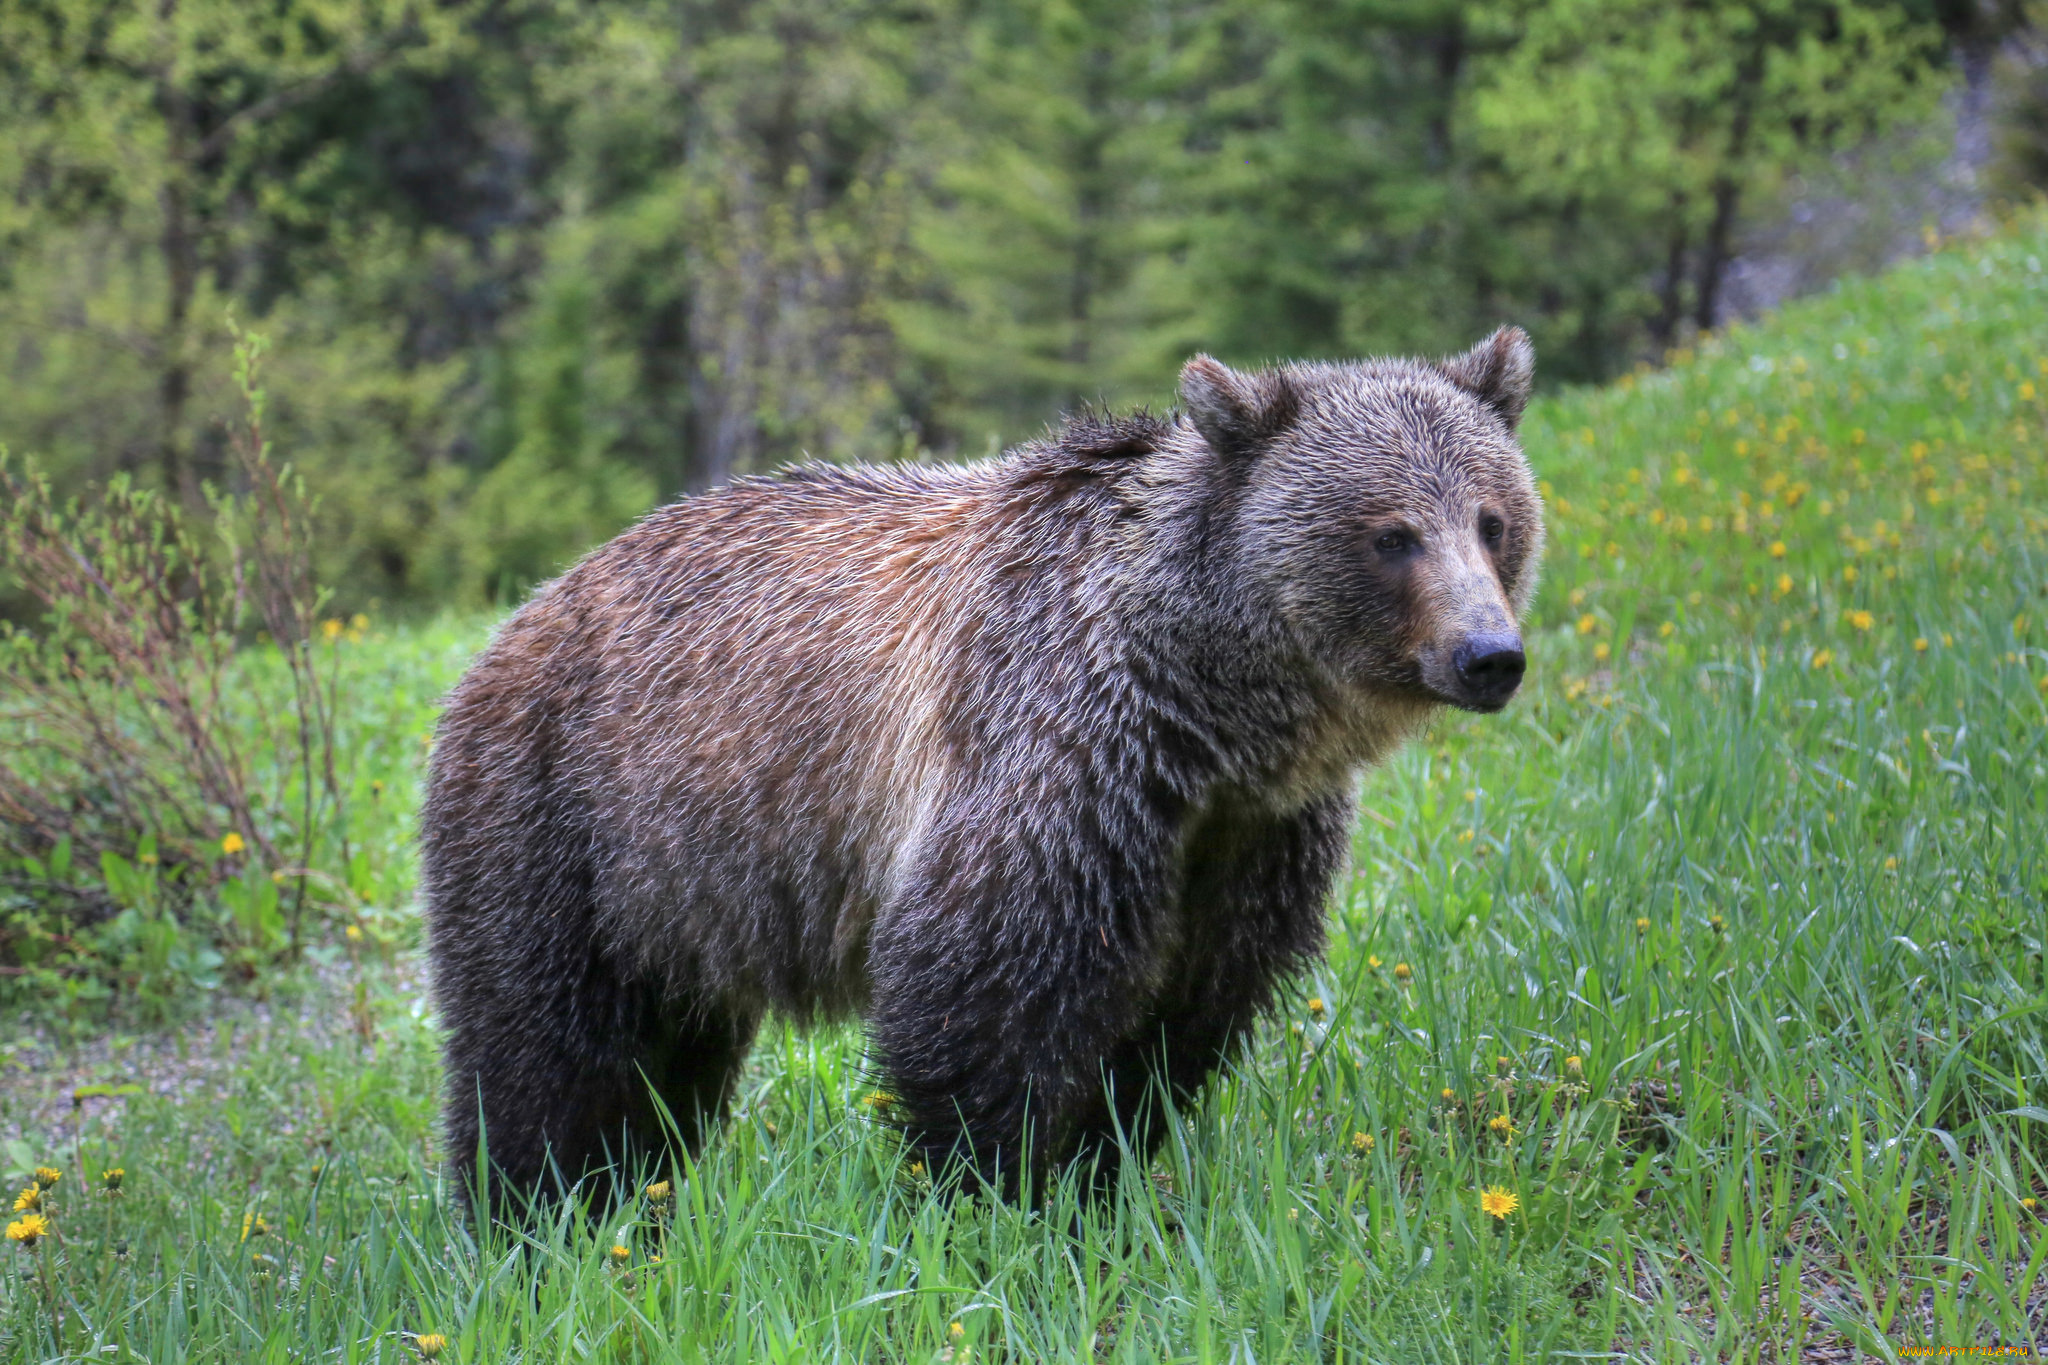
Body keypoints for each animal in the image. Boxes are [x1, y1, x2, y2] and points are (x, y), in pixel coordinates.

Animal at [419, 325, 1540, 1211]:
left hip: (682, 893)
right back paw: (536, 1213)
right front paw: (993, 1194)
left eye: (1492, 518)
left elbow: (1179, 1020)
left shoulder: (1242, 834)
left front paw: (1104, 1179)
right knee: (548, 1051)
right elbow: (986, 992)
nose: (1489, 654)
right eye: (1390, 533)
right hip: (571, 817)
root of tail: (522, 616)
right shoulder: (1055, 754)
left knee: (669, 1063)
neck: (1209, 708)